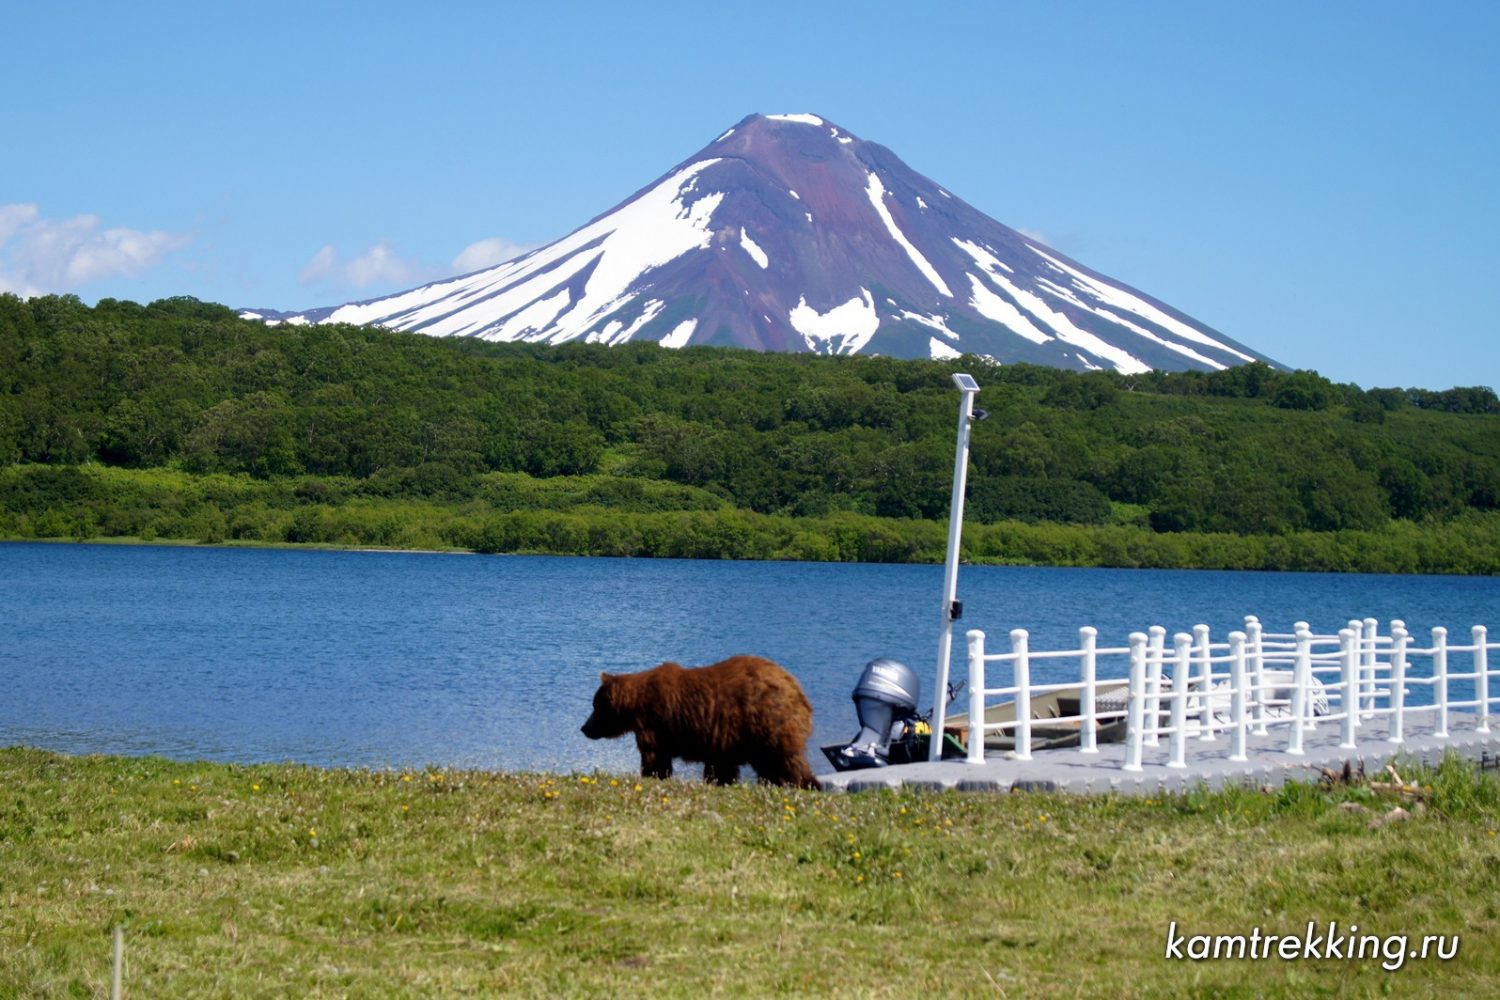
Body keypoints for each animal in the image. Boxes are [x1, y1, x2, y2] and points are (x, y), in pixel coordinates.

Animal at [582, 656, 822, 791]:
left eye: (595, 706)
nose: (584, 728)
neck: (636, 706)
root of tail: (797, 690)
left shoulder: (656, 724)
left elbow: (655, 757)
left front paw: (652, 775)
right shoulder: (724, 739)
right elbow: (721, 767)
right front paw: (719, 782)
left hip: (768, 722)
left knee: (785, 761)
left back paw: (807, 784)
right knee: (770, 766)